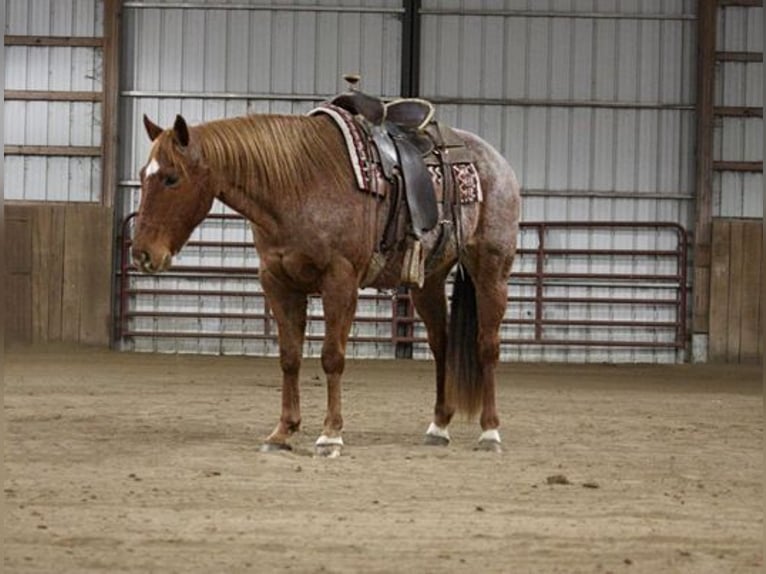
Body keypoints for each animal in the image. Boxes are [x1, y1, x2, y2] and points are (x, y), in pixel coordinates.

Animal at [135, 109, 524, 460]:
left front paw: (330, 435)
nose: (142, 253)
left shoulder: (340, 281)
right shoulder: (278, 283)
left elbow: (332, 357)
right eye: (142, 176)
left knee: (487, 346)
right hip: (427, 281)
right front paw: (282, 432)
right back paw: (438, 426)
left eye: (171, 178)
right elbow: (289, 357)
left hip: (492, 269)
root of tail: (496, 162)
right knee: (441, 345)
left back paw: (490, 431)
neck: (297, 185)